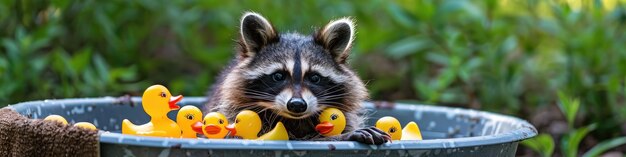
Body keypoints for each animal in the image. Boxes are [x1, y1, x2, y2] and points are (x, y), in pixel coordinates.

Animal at [205, 12, 390, 145]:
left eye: (314, 78)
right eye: (278, 76)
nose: (297, 105)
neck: (293, 120)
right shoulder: (232, 113)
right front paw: (343, 137)